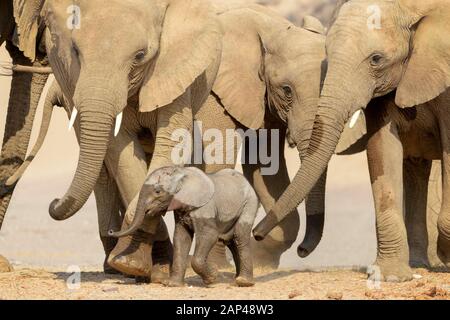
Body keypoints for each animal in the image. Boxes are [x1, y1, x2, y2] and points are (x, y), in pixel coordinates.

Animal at [110, 168, 260, 288]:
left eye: (158, 191)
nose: (111, 231)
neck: (180, 174)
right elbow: (181, 238)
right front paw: (172, 285)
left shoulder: (205, 208)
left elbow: (210, 235)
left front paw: (212, 276)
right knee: (231, 241)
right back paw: (236, 280)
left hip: (249, 203)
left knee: (239, 236)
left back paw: (244, 282)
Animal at [255, 0, 450, 280]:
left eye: (376, 59)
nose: (256, 233)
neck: (410, 8)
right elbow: (382, 149)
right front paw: (389, 276)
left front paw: (445, 254)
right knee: (415, 169)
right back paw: (418, 265)